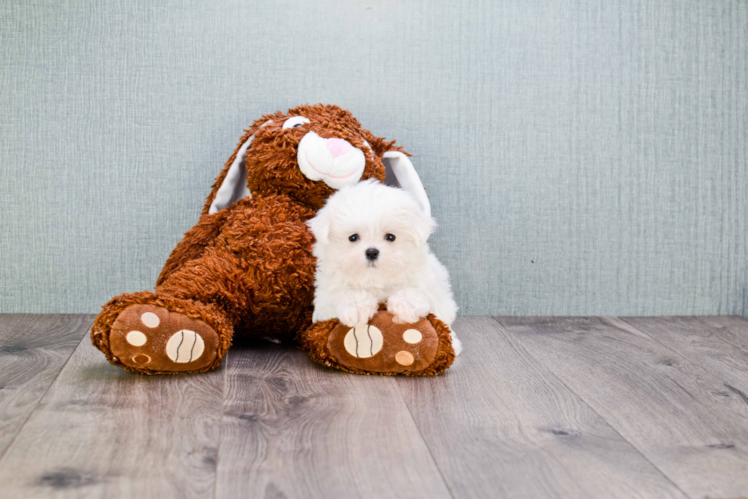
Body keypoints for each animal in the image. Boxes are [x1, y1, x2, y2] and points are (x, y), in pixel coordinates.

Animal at [306, 180, 462, 356]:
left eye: (390, 237)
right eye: (353, 237)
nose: (372, 252)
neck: (375, 278)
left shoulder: (428, 283)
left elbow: (417, 292)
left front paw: (405, 305)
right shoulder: (325, 299)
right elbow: (342, 294)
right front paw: (356, 308)